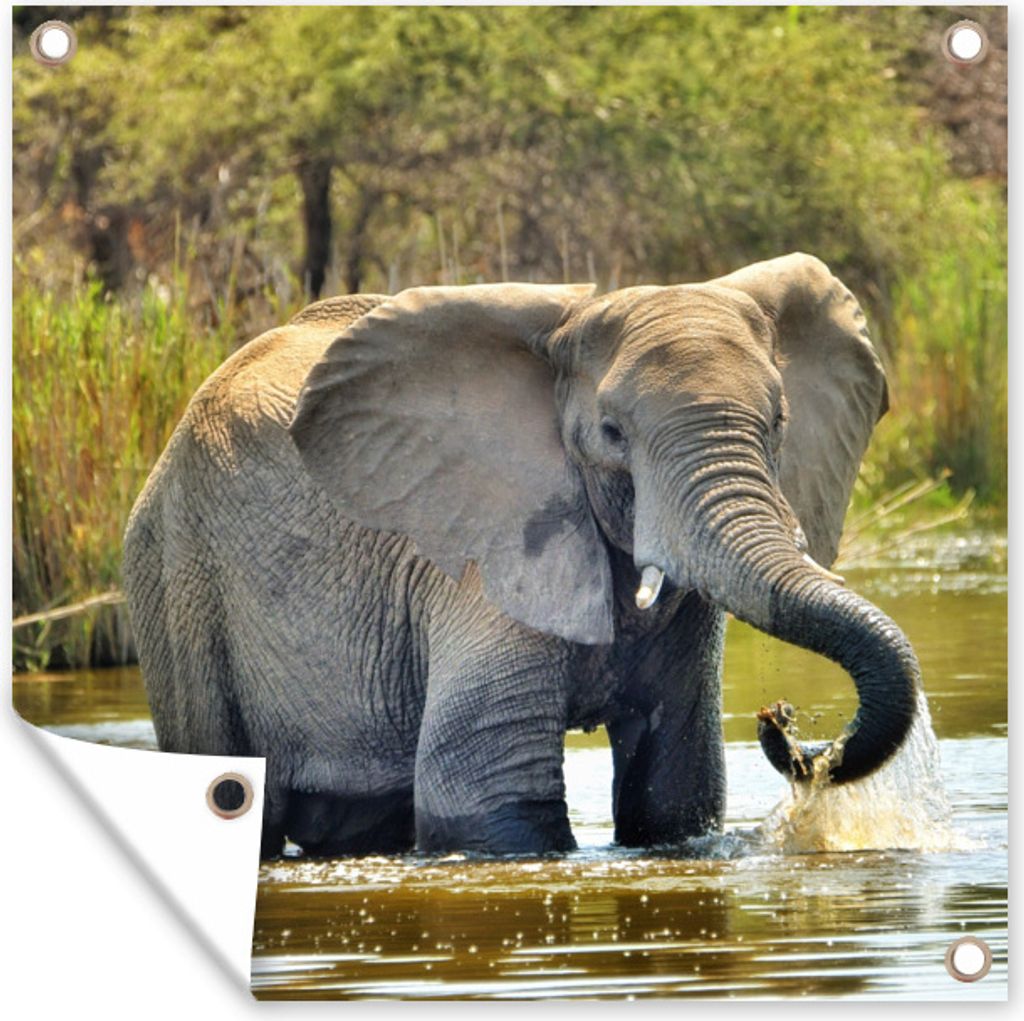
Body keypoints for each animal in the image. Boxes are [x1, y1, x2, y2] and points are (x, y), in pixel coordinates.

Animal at [122, 253, 920, 858]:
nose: (780, 720)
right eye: (611, 432)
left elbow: (675, 787)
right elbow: (485, 790)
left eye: (779, 421)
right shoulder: (481, 553)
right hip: (175, 573)